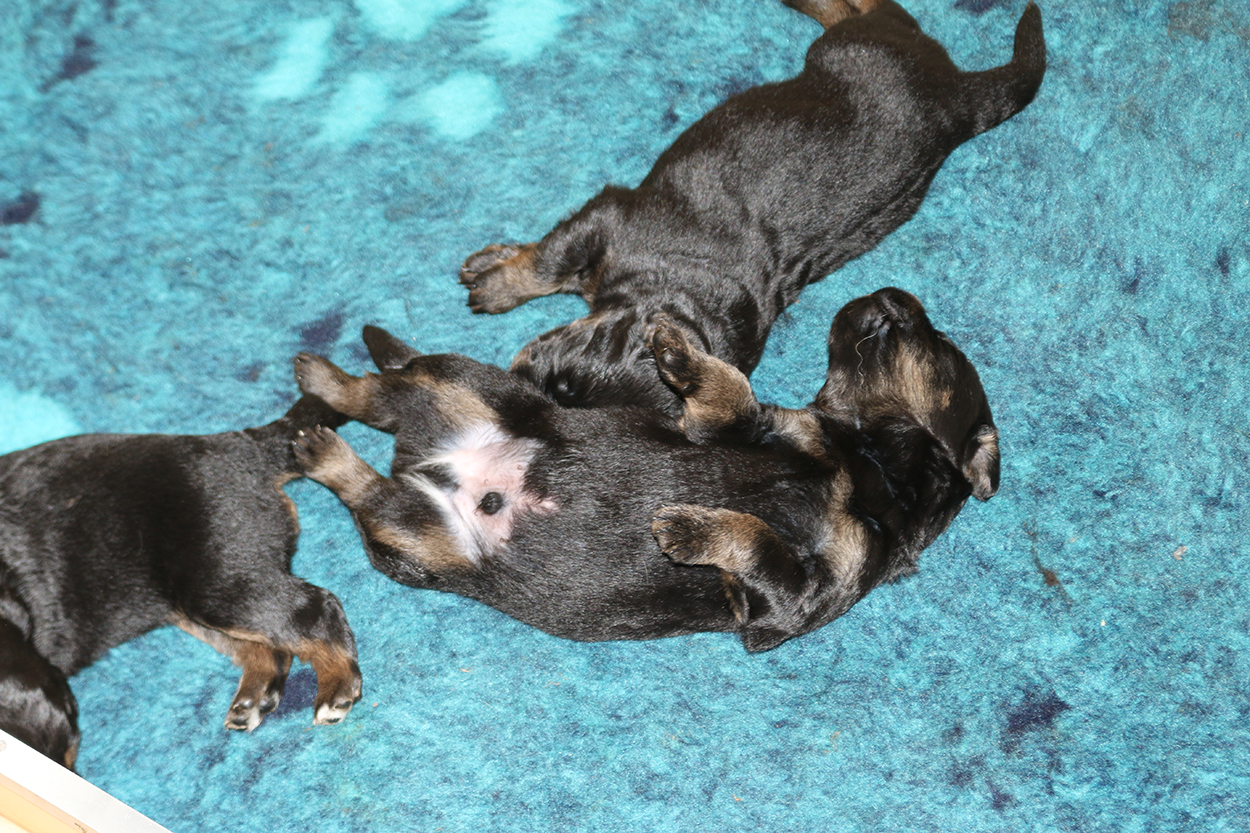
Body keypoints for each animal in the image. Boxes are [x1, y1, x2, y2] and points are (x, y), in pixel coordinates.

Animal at [0, 396, 362, 768]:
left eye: (73, 738)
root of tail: (243, 444)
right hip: (190, 594)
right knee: (274, 645)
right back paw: (254, 697)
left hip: (216, 578)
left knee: (314, 610)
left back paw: (337, 687)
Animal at [291, 288, 999, 653]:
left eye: (937, 340)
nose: (886, 294)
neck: (869, 466)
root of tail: (421, 457)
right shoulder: (737, 426)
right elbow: (731, 388)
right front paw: (675, 352)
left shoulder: (790, 600)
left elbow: (756, 537)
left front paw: (688, 530)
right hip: (476, 386)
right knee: (383, 394)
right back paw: (321, 388)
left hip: (427, 531)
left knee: (371, 476)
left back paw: (323, 442)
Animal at [458, 0, 1045, 416]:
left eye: (563, 388)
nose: (517, 376)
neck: (675, 294)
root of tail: (957, 102)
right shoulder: (605, 218)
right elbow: (548, 258)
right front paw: (497, 268)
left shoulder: (613, 222)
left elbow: (547, 262)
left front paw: (493, 284)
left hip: (856, 48)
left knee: (864, 9)